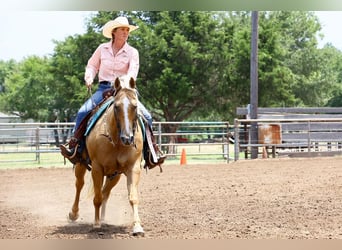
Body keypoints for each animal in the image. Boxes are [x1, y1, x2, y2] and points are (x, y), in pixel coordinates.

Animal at [68, 75, 144, 235]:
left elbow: (133, 197)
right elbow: (96, 198)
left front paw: (137, 226)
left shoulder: (133, 168)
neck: (116, 140)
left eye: (135, 106)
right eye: (116, 107)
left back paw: (103, 218)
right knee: (80, 184)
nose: (127, 138)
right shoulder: (97, 168)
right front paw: (96, 224)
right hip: (81, 163)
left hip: (115, 175)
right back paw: (74, 213)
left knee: (105, 192)